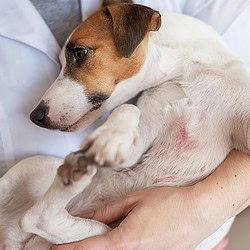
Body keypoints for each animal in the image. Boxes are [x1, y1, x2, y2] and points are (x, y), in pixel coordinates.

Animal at [0, 2, 250, 250]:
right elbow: (129, 108)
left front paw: (110, 137)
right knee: (37, 217)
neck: (189, 67)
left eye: (79, 52)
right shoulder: (141, 135)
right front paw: (111, 136)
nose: (35, 116)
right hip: (41, 168)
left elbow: (129, 109)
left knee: (39, 218)